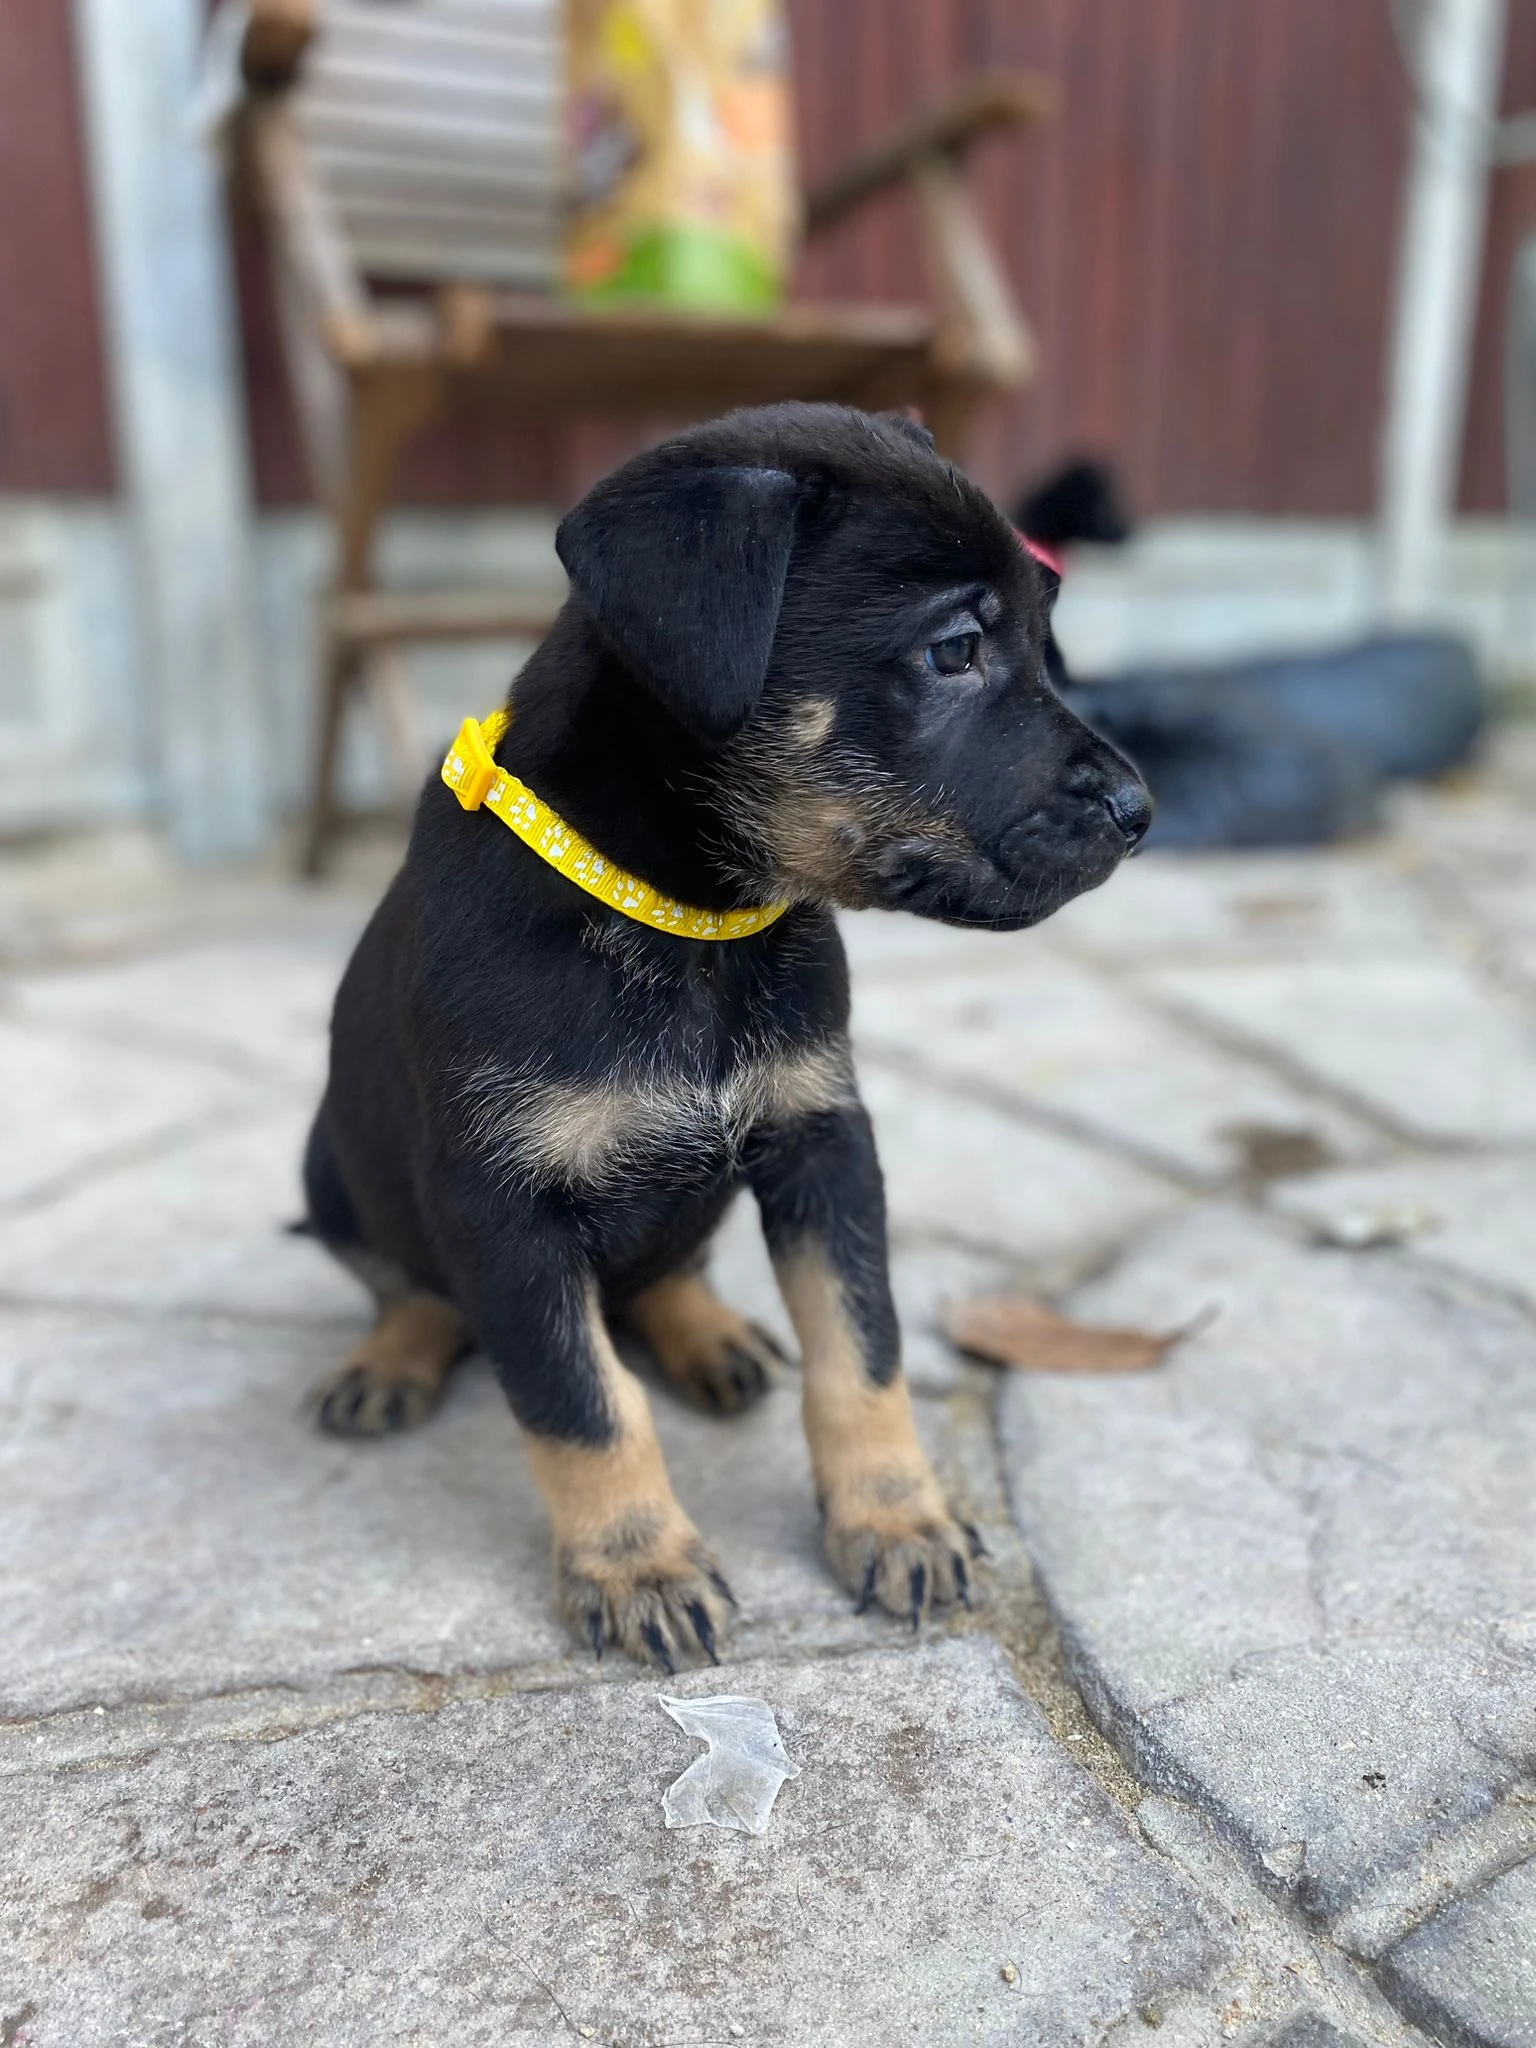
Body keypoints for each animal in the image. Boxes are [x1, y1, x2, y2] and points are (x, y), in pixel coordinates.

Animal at [301, 399, 1146, 1662]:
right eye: (956, 650)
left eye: (1048, 641)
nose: (1142, 810)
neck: (690, 923)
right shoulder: (502, 1208)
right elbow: (585, 1403)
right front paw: (639, 1564)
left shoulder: (823, 1140)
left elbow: (862, 1349)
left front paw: (896, 1517)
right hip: (328, 1163)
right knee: (410, 1285)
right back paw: (390, 1357)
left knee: (669, 1269)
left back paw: (708, 1333)